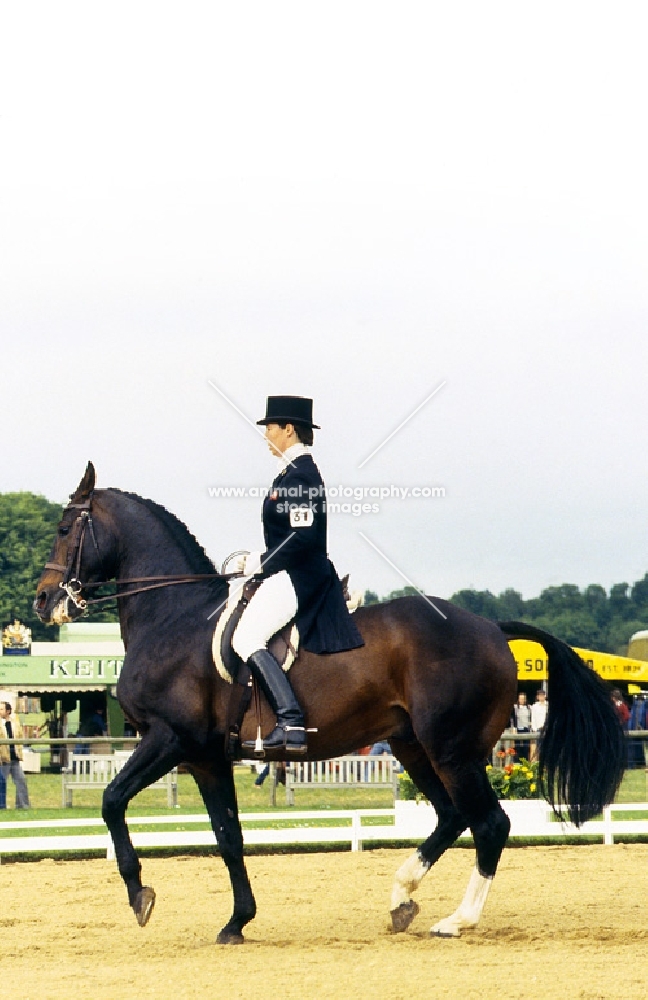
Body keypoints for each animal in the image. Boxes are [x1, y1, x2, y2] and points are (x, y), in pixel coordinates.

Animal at [33, 464, 624, 940]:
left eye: (64, 528)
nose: (43, 601)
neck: (172, 616)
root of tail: (492, 628)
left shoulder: (169, 739)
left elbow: (112, 801)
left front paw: (141, 895)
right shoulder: (206, 757)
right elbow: (228, 837)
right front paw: (237, 922)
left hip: (452, 749)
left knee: (490, 823)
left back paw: (456, 920)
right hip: (413, 746)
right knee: (453, 815)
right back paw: (401, 898)